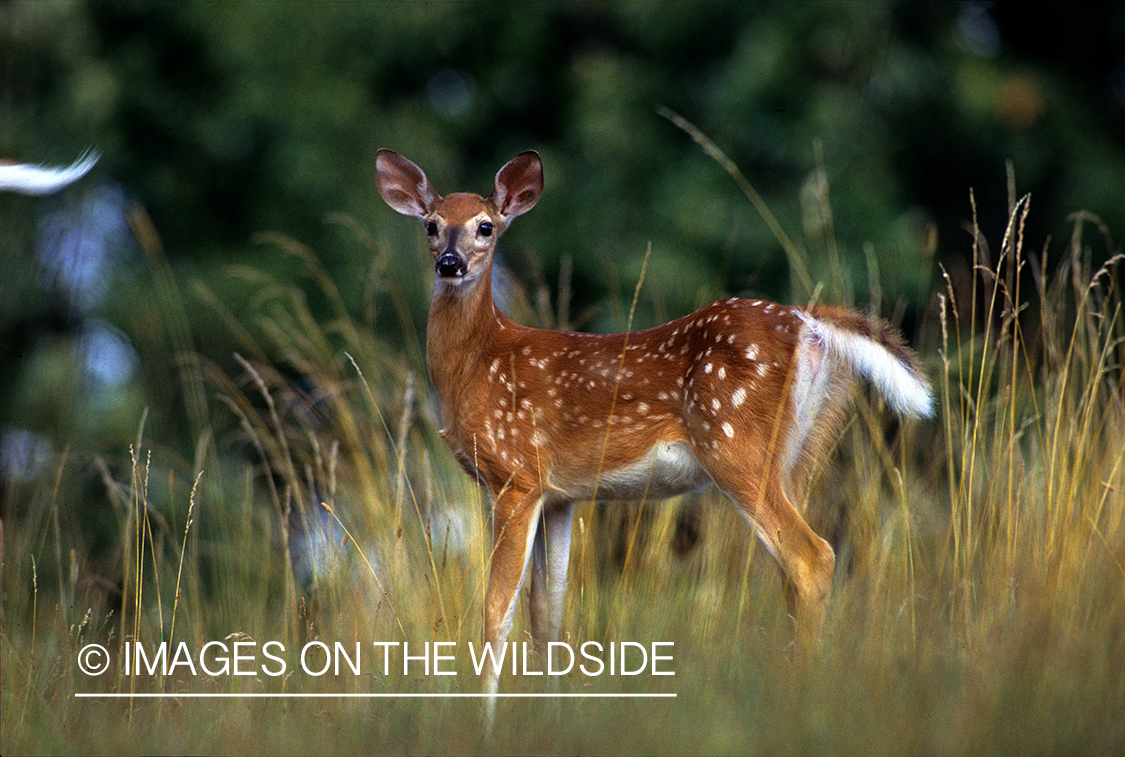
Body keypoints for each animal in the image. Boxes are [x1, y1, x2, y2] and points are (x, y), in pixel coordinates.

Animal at [375, 148, 932, 715]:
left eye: (485, 226)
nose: (450, 263)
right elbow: (548, 618)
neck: (476, 364)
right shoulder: (559, 496)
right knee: (793, 571)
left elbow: (496, 612)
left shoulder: (515, 475)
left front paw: (482, 719)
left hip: (736, 445)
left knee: (812, 557)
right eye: (431, 225)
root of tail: (810, 322)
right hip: (798, 454)